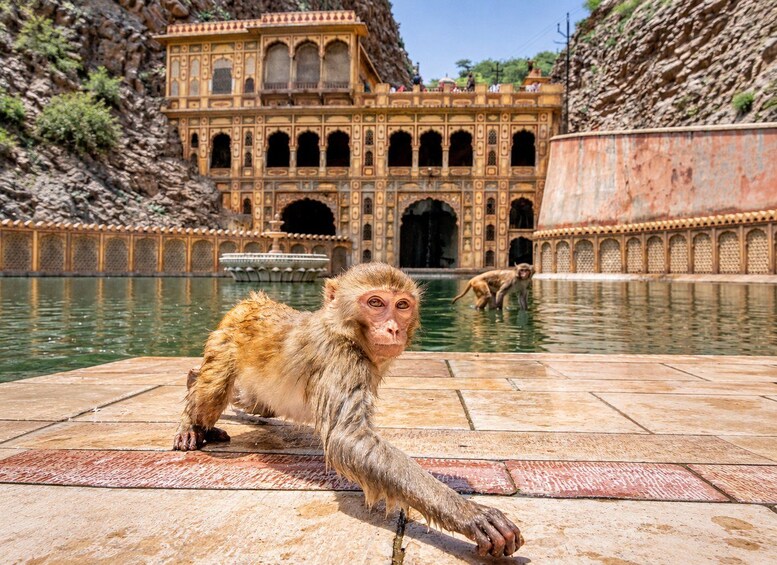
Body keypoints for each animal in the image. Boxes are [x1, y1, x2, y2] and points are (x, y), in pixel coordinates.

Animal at [173, 263, 524, 558]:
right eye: (375, 303)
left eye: (402, 305)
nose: (393, 328)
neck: (345, 330)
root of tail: (248, 303)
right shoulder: (340, 356)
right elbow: (348, 437)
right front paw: (469, 514)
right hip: (227, 341)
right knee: (214, 391)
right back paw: (193, 419)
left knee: (255, 402)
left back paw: (193, 380)